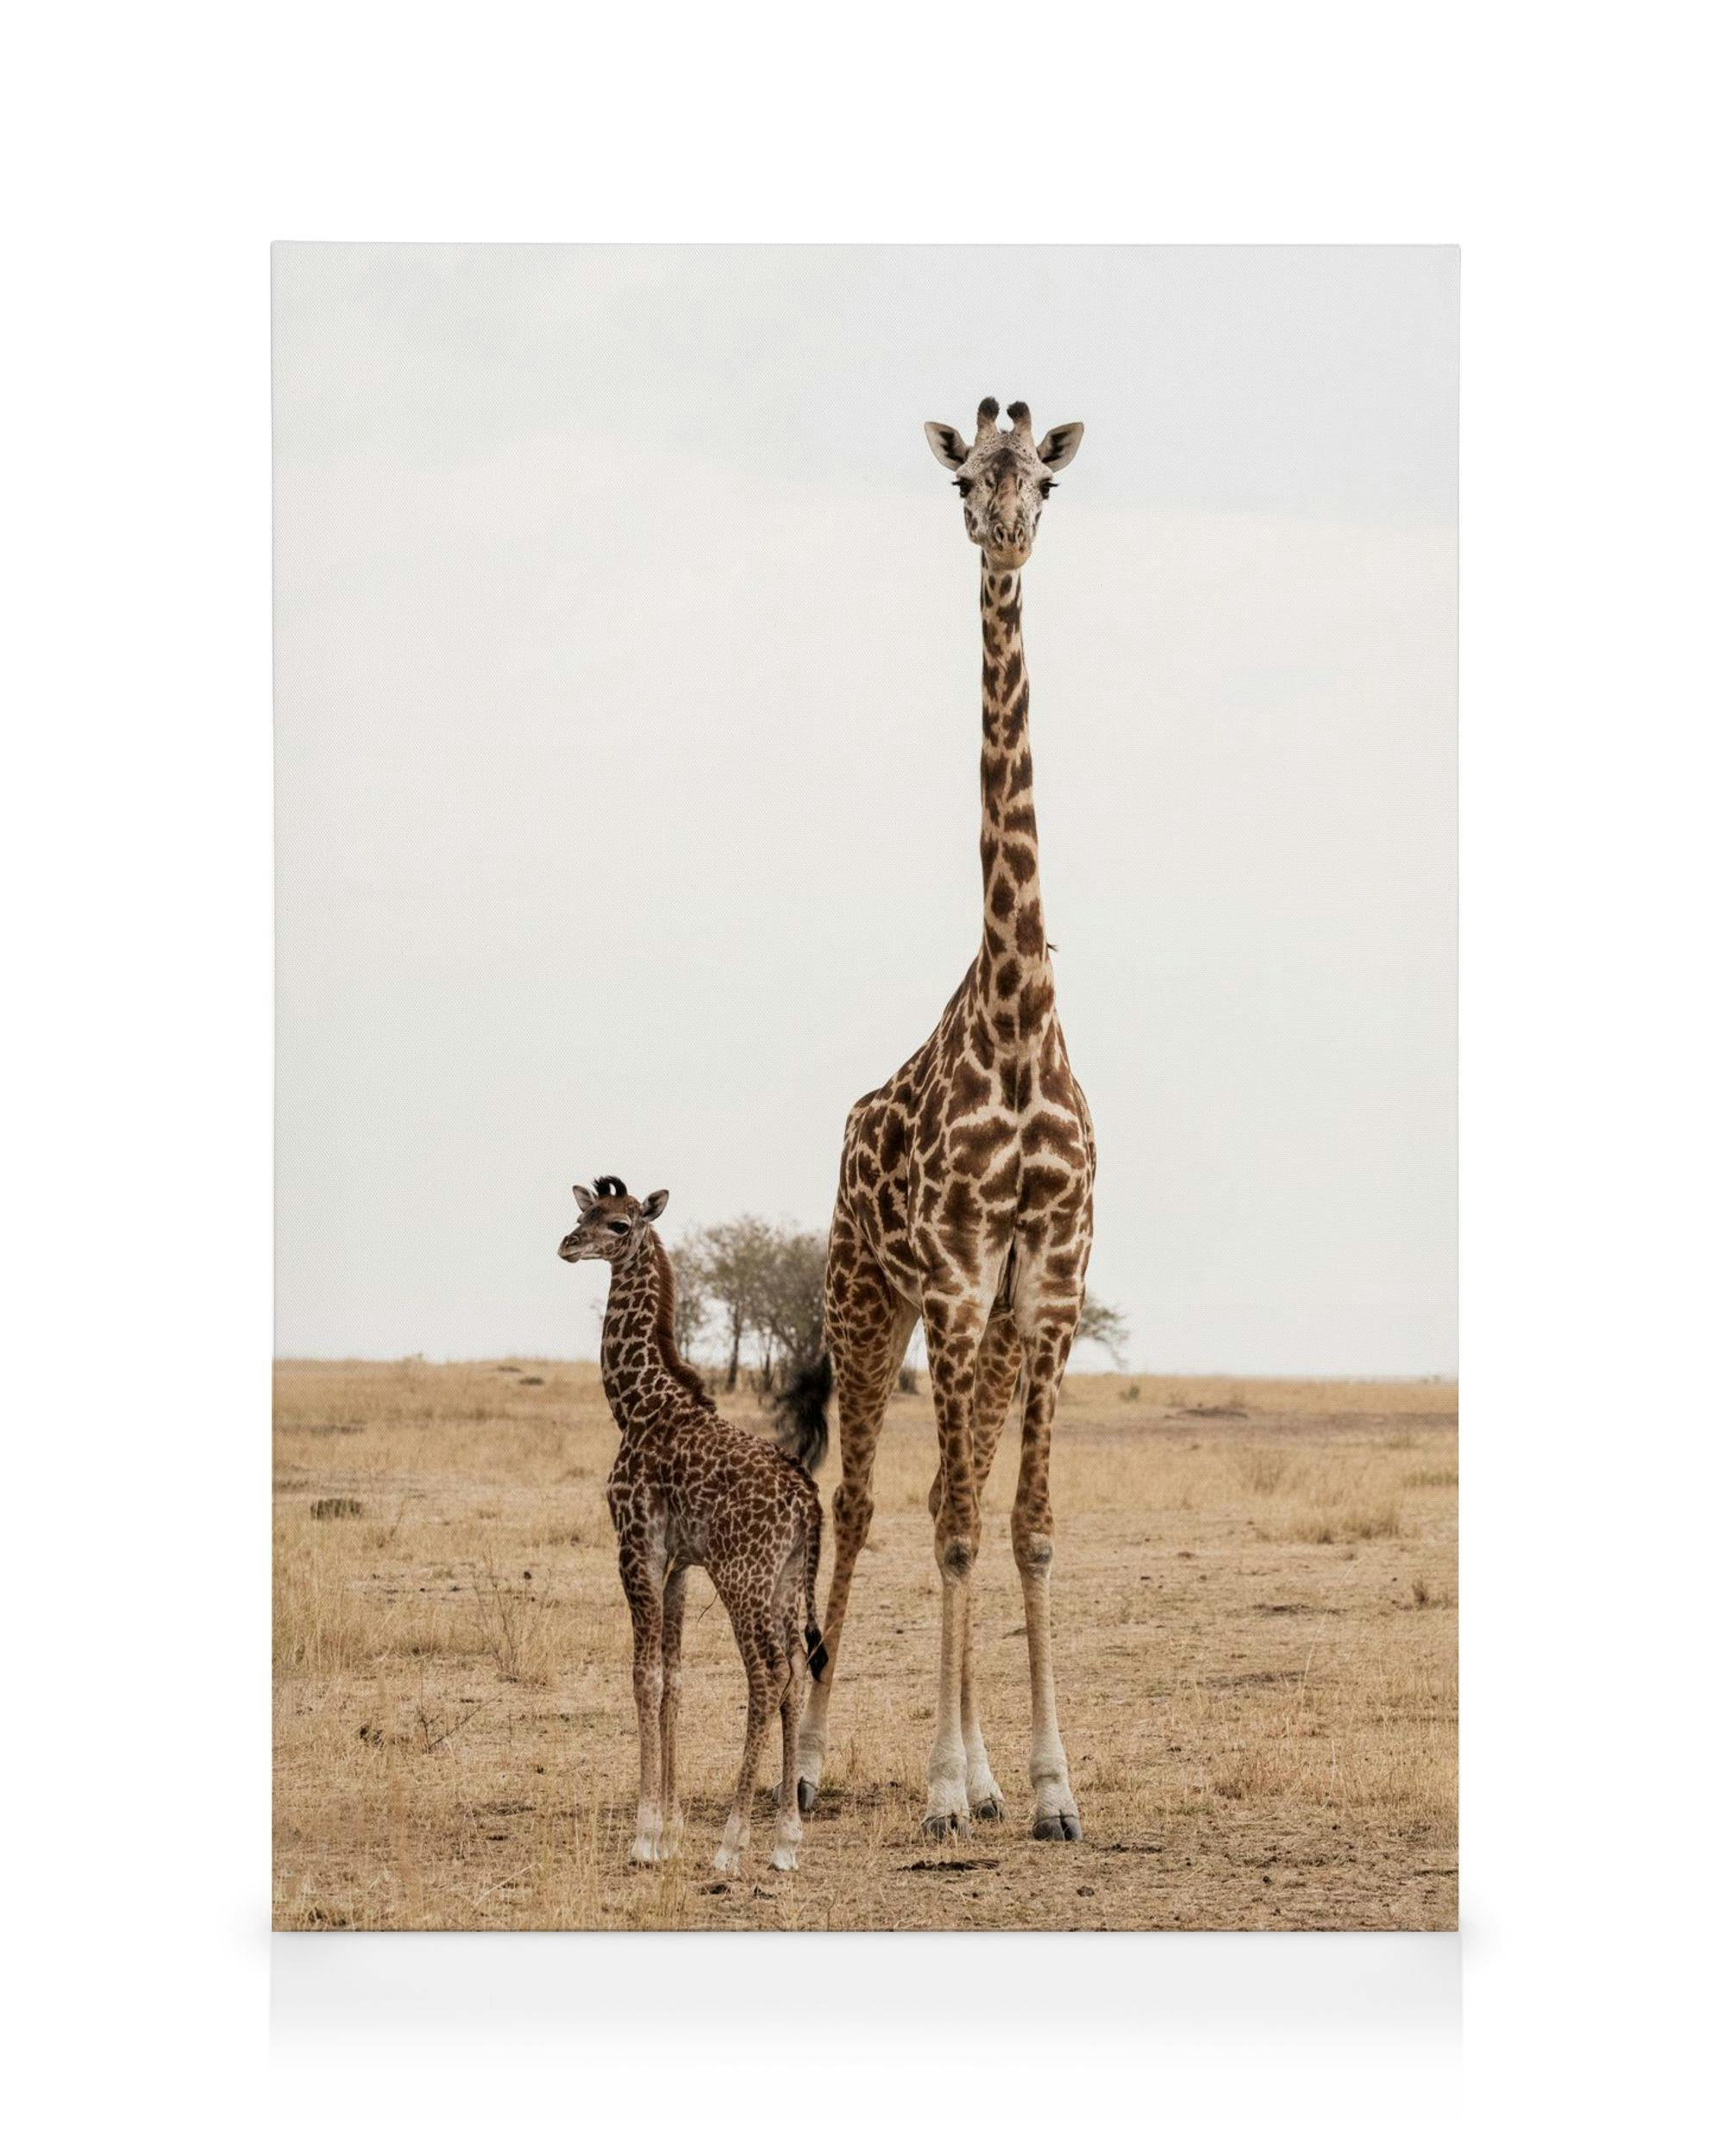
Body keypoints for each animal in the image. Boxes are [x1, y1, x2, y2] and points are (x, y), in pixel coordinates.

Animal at [559, 1175, 829, 1875]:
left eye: (620, 1224)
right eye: (585, 1212)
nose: (568, 1244)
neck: (636, 1405)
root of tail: (809, 1502)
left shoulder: (635, 1548)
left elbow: (644, 1676)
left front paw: (646, 1832)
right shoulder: (680, 1564)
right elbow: (674, 1681)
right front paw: (672, 1829)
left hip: (744, 1577)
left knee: (769, 1676)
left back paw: (733, 1844)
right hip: (786, 1581)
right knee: (794, 1672)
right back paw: (785, 1841)